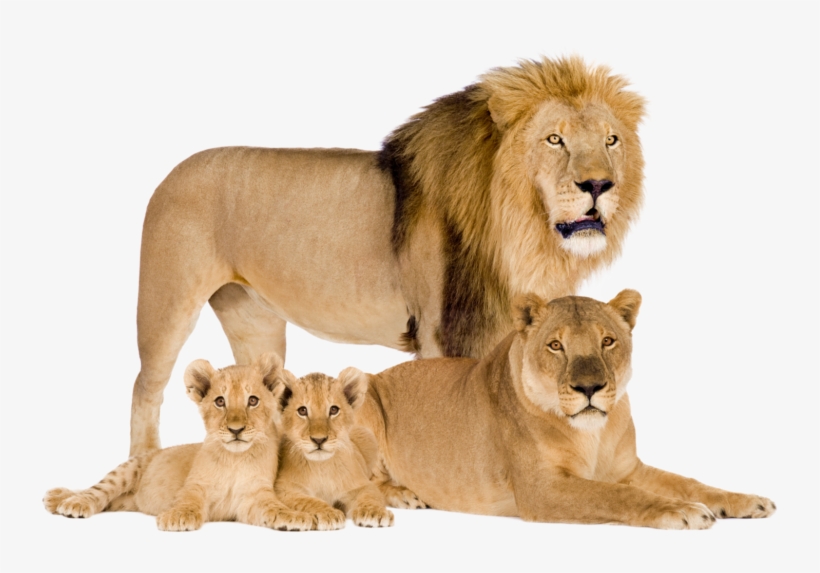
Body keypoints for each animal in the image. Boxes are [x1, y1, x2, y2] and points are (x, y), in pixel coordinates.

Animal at [44, 353, 314, 532]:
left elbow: (274, 508)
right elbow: (188, 500)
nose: (235, 429)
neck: (235, 459)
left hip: (125, 500)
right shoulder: (194, 485)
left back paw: (60, 498)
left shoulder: (254, 496)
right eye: (220, 401)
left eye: (253, 401)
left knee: (109, 502)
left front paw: (296, 517)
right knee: (98, 490)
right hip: (127, 469)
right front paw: (178, 517)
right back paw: (69, 500)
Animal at [128, 56, 646, 456]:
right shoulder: (441, 331)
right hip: (166, 305)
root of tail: (170, 172)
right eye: (554, 139)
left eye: (611, 140)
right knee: (144, 388)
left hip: (254, 320)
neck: (520, 231)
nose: (599, 184)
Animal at [274, 368, 394, 529]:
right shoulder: (283, 489)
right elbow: (308, 500)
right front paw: (329, 513)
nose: (319, 440)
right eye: (302, 410)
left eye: (334, 410)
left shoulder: (363, 485)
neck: (322, 466)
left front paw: (375, 513)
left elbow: (369, 496)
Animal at [358, 291, 776, 529]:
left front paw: (744, 501)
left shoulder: (628, 469)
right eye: (556, 346)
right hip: (363, 393)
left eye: (607, 341)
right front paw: (684, 511)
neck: (594, 433)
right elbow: (615, 496)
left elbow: (689, 482)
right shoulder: (542, 489)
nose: (589, 388)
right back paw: (405, 494)